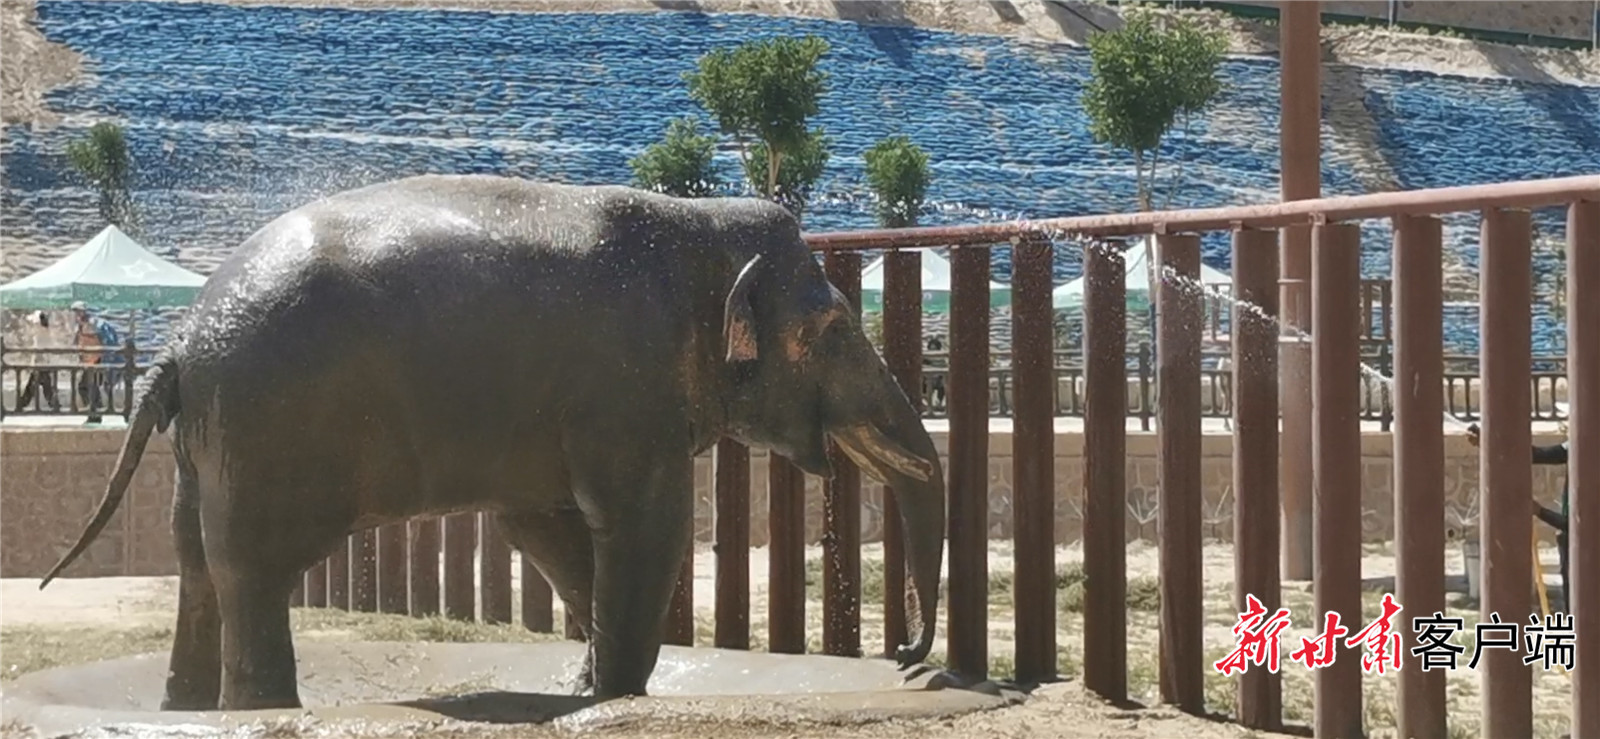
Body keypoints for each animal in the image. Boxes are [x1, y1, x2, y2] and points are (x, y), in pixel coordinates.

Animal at [39, 174, 947, 712]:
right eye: (835, 330)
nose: (909, 657)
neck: (698, 225)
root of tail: (179, 344)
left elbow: (544, 529)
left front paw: (588, 688)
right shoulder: (625, 386)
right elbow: (641, 529)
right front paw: (613, 699)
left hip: (209, 443)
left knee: (195, 563)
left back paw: (185, 711)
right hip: (267, 434)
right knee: (250, 571)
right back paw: (264, 712)